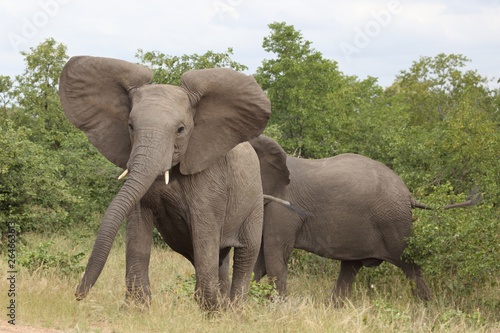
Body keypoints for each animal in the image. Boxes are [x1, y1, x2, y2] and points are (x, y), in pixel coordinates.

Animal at [59, 55, 274, 308]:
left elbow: (204, 233)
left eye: (180, 129)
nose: (78, 293)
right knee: (217, 256)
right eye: (130, 126)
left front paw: (209, 309)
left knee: (244, 254)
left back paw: (233, 310)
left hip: (254, 202)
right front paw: (137, 308)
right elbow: (137, 226)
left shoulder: (210, 179)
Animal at [250, 135, 480, 304]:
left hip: (394, 222)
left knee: (410, 265)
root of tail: (409, 195)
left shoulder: (284, 206)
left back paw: (425, 308)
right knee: (350, 267)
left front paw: (273, 307)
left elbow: (274, 253)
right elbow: (261, 256)